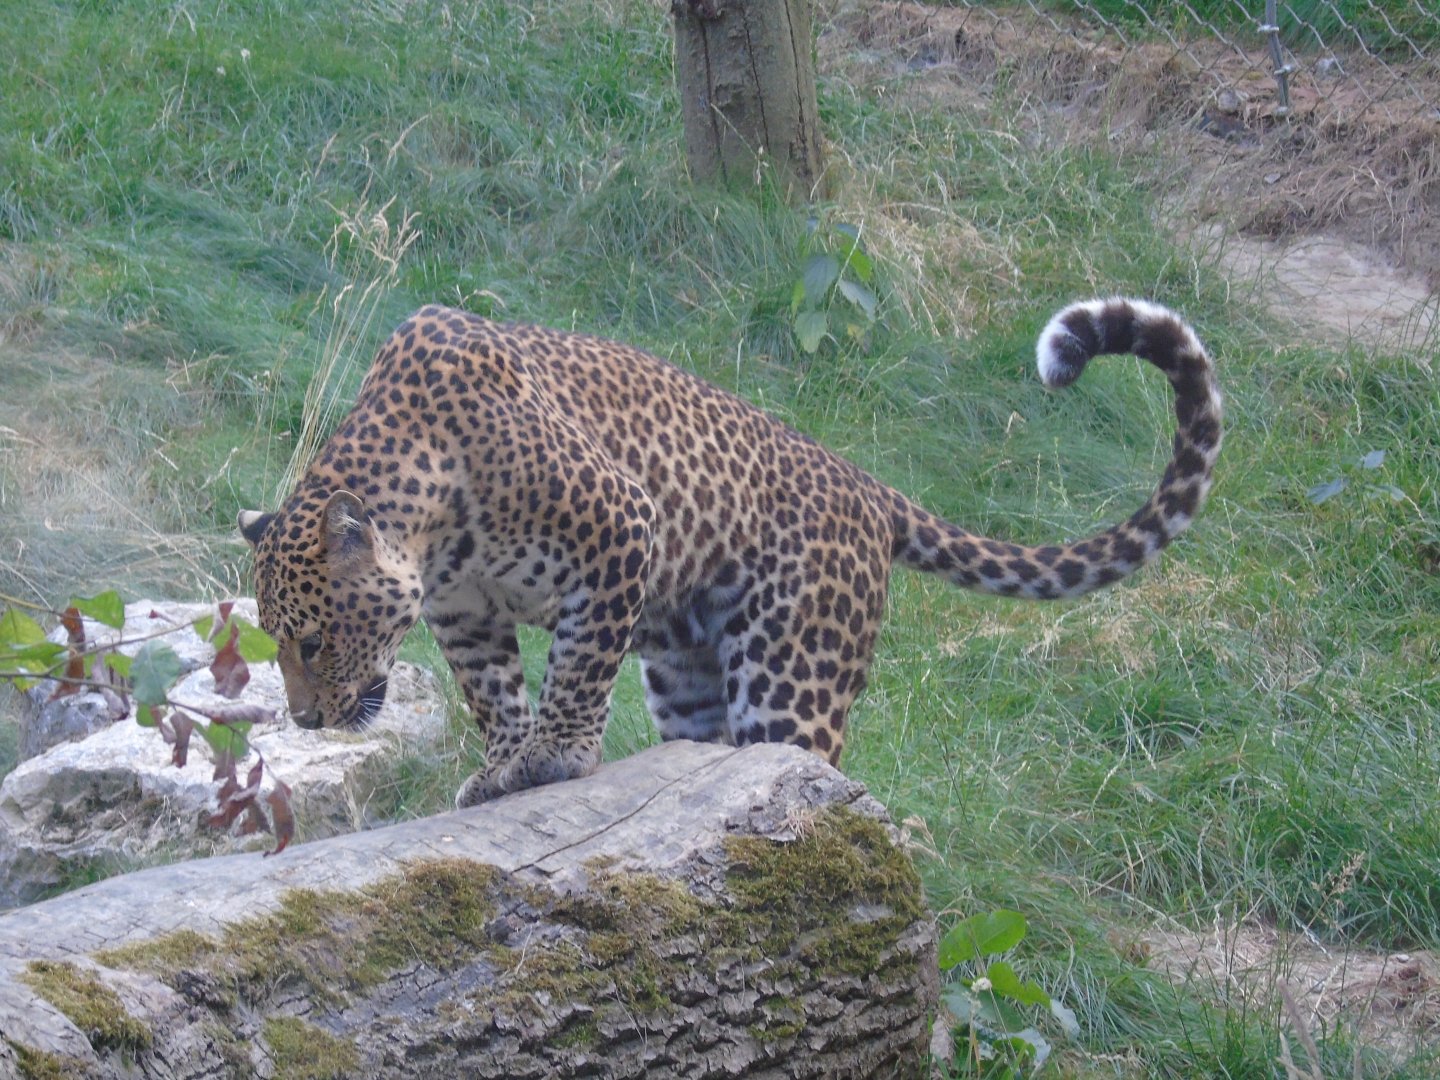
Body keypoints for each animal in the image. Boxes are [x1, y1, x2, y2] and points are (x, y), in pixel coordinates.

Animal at [240, 299, 1221, 807]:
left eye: (314, 641)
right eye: (278, 644)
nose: (308, 722)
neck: (436, 520)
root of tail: (867, 487)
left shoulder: (622, 527)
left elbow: (576, 669)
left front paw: (558, 755)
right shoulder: (464, 612)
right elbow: (492, 693)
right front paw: (504, 767)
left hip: (791, 678)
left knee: (821, 781)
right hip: (689, 683)